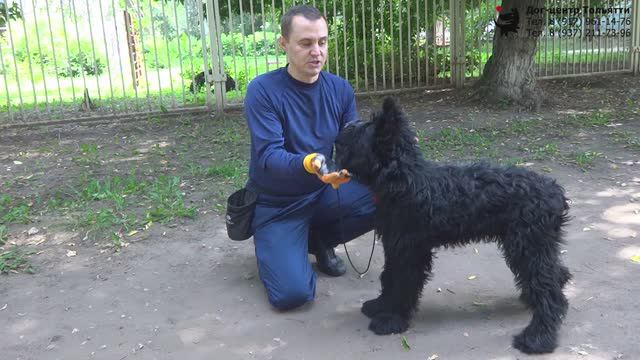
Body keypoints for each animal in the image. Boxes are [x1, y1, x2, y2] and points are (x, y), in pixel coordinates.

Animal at [336, 97, 568, 352]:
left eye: (368, 126)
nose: (345, 126)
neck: (403, 177)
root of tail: (554, 192)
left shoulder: (410, 250)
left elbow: (402, 283)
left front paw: (391, 319)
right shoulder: (394, 245)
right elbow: (388, 277)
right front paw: (380, 304)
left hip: (528, 246)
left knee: (548, 291)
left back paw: (538, 337)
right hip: (536, 247)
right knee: (555, 275)